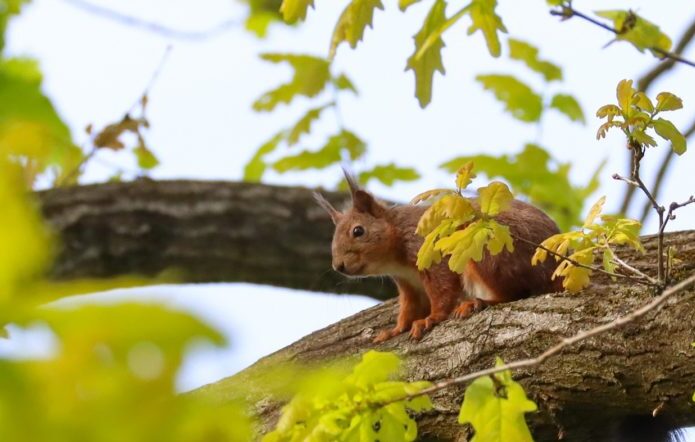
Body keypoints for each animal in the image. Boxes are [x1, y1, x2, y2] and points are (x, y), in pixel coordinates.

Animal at [316, 172, 564, 342]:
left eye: (358, 231)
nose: (338, 266)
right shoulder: (409, 284)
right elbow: (409, 308)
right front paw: (395, 330)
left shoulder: (432, 254)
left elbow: (443, 290)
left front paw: (431, 318)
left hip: (489, 252)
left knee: (516, 293)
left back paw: (478, 302)